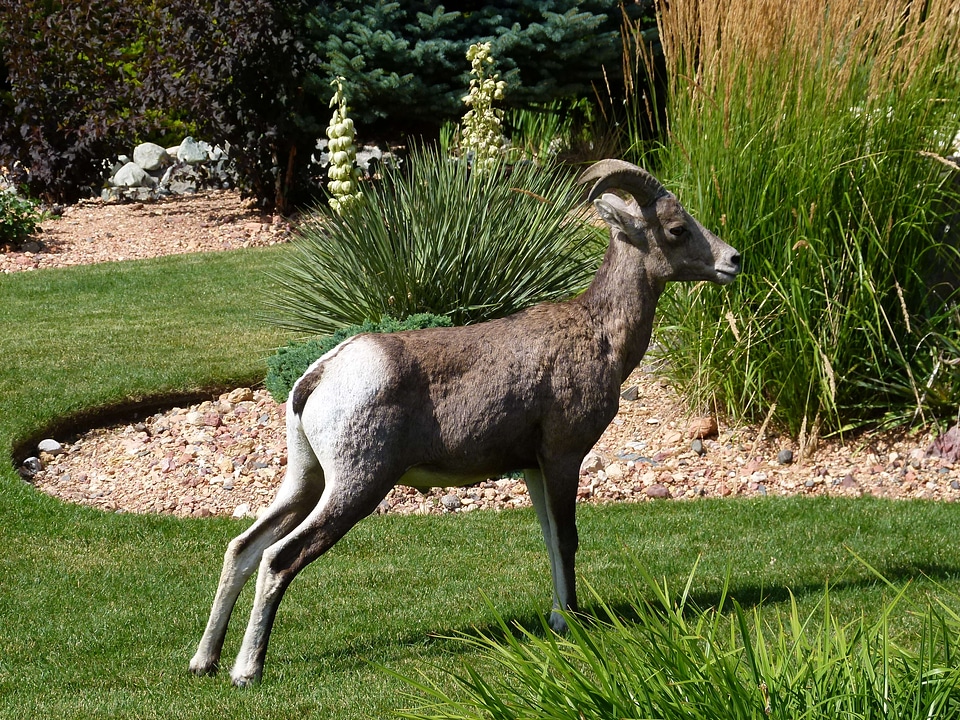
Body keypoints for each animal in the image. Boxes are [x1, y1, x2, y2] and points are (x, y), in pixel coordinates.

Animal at [189, 159, 744, 688]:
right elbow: (567, 538)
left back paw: (204, 662)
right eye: (676, 228)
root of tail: (319, 376)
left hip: (306, 480)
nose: (733, 260)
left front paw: (557, 620)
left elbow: (548, 537)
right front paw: (572, 621)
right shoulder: (563, 457)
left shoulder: (533, 468)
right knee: (279, 558)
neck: (598, 333)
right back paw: (246, 671)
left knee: (242, 548)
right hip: (357, 485)